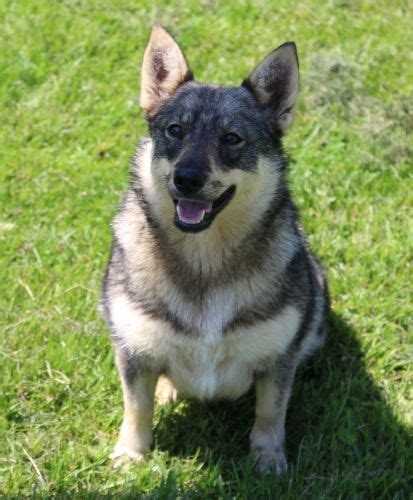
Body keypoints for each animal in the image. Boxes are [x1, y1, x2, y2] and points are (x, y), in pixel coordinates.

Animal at [102, 25, 328, 474]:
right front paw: (131, 456)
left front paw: (268, 459)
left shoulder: (277, 361)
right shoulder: (132, 351)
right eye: (175, 131)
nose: (187, 178)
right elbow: (135, 407)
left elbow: (270, 412)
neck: (205, 258)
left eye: (232, 138)